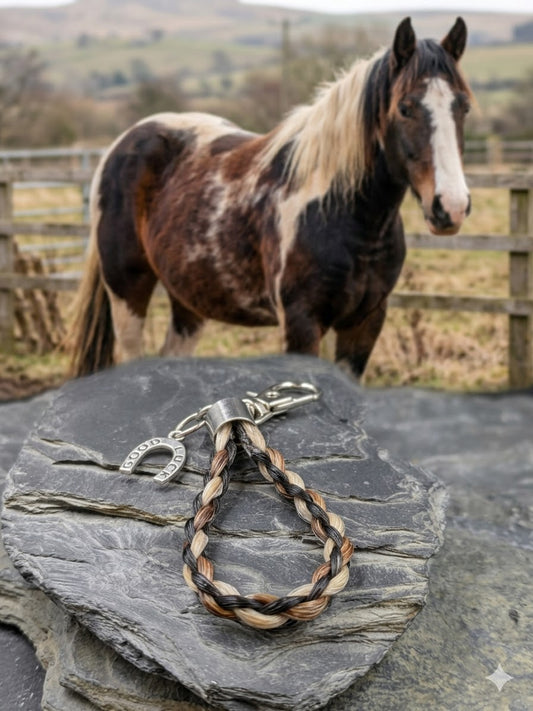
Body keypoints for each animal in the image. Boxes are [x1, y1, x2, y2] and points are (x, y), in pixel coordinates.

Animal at [69, 17, 472, 379]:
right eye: (405, 107)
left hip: (188, 298)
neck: (343, 213)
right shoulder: (301, 322)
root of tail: (123, 143)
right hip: (126, 291)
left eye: (463, 106)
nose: (450, 206)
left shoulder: (364, 323)